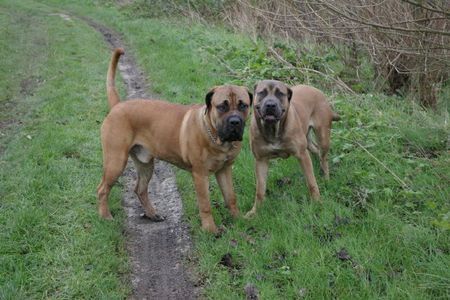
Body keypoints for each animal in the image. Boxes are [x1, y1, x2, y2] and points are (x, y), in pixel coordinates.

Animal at [97, 49, 253, 233]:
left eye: (243, 105)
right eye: (222, 106)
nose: (235, 122)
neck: (217, 138)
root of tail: (117, 106)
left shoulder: (225, 169)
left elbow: (231, 197)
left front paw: (238, 219)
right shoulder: (200, 175)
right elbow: (205, 205)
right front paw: (210, 229)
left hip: (145, 163)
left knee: (140, 189)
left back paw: (152, 214)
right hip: (116, 161)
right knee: (102, 189)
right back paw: (105, 216)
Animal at [244, 78, 340, 217]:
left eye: (280, 94)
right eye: (262, 93)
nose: (270, 105)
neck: (273, 129)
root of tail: (317, 90)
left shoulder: (302, 155)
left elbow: (311, 182)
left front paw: (317, 203)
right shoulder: (260, 160)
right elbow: (260, 191)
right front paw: (255, 212)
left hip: (323, 137)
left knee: (324, 157)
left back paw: (326, 178)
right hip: (308, 141)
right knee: (316, 150)